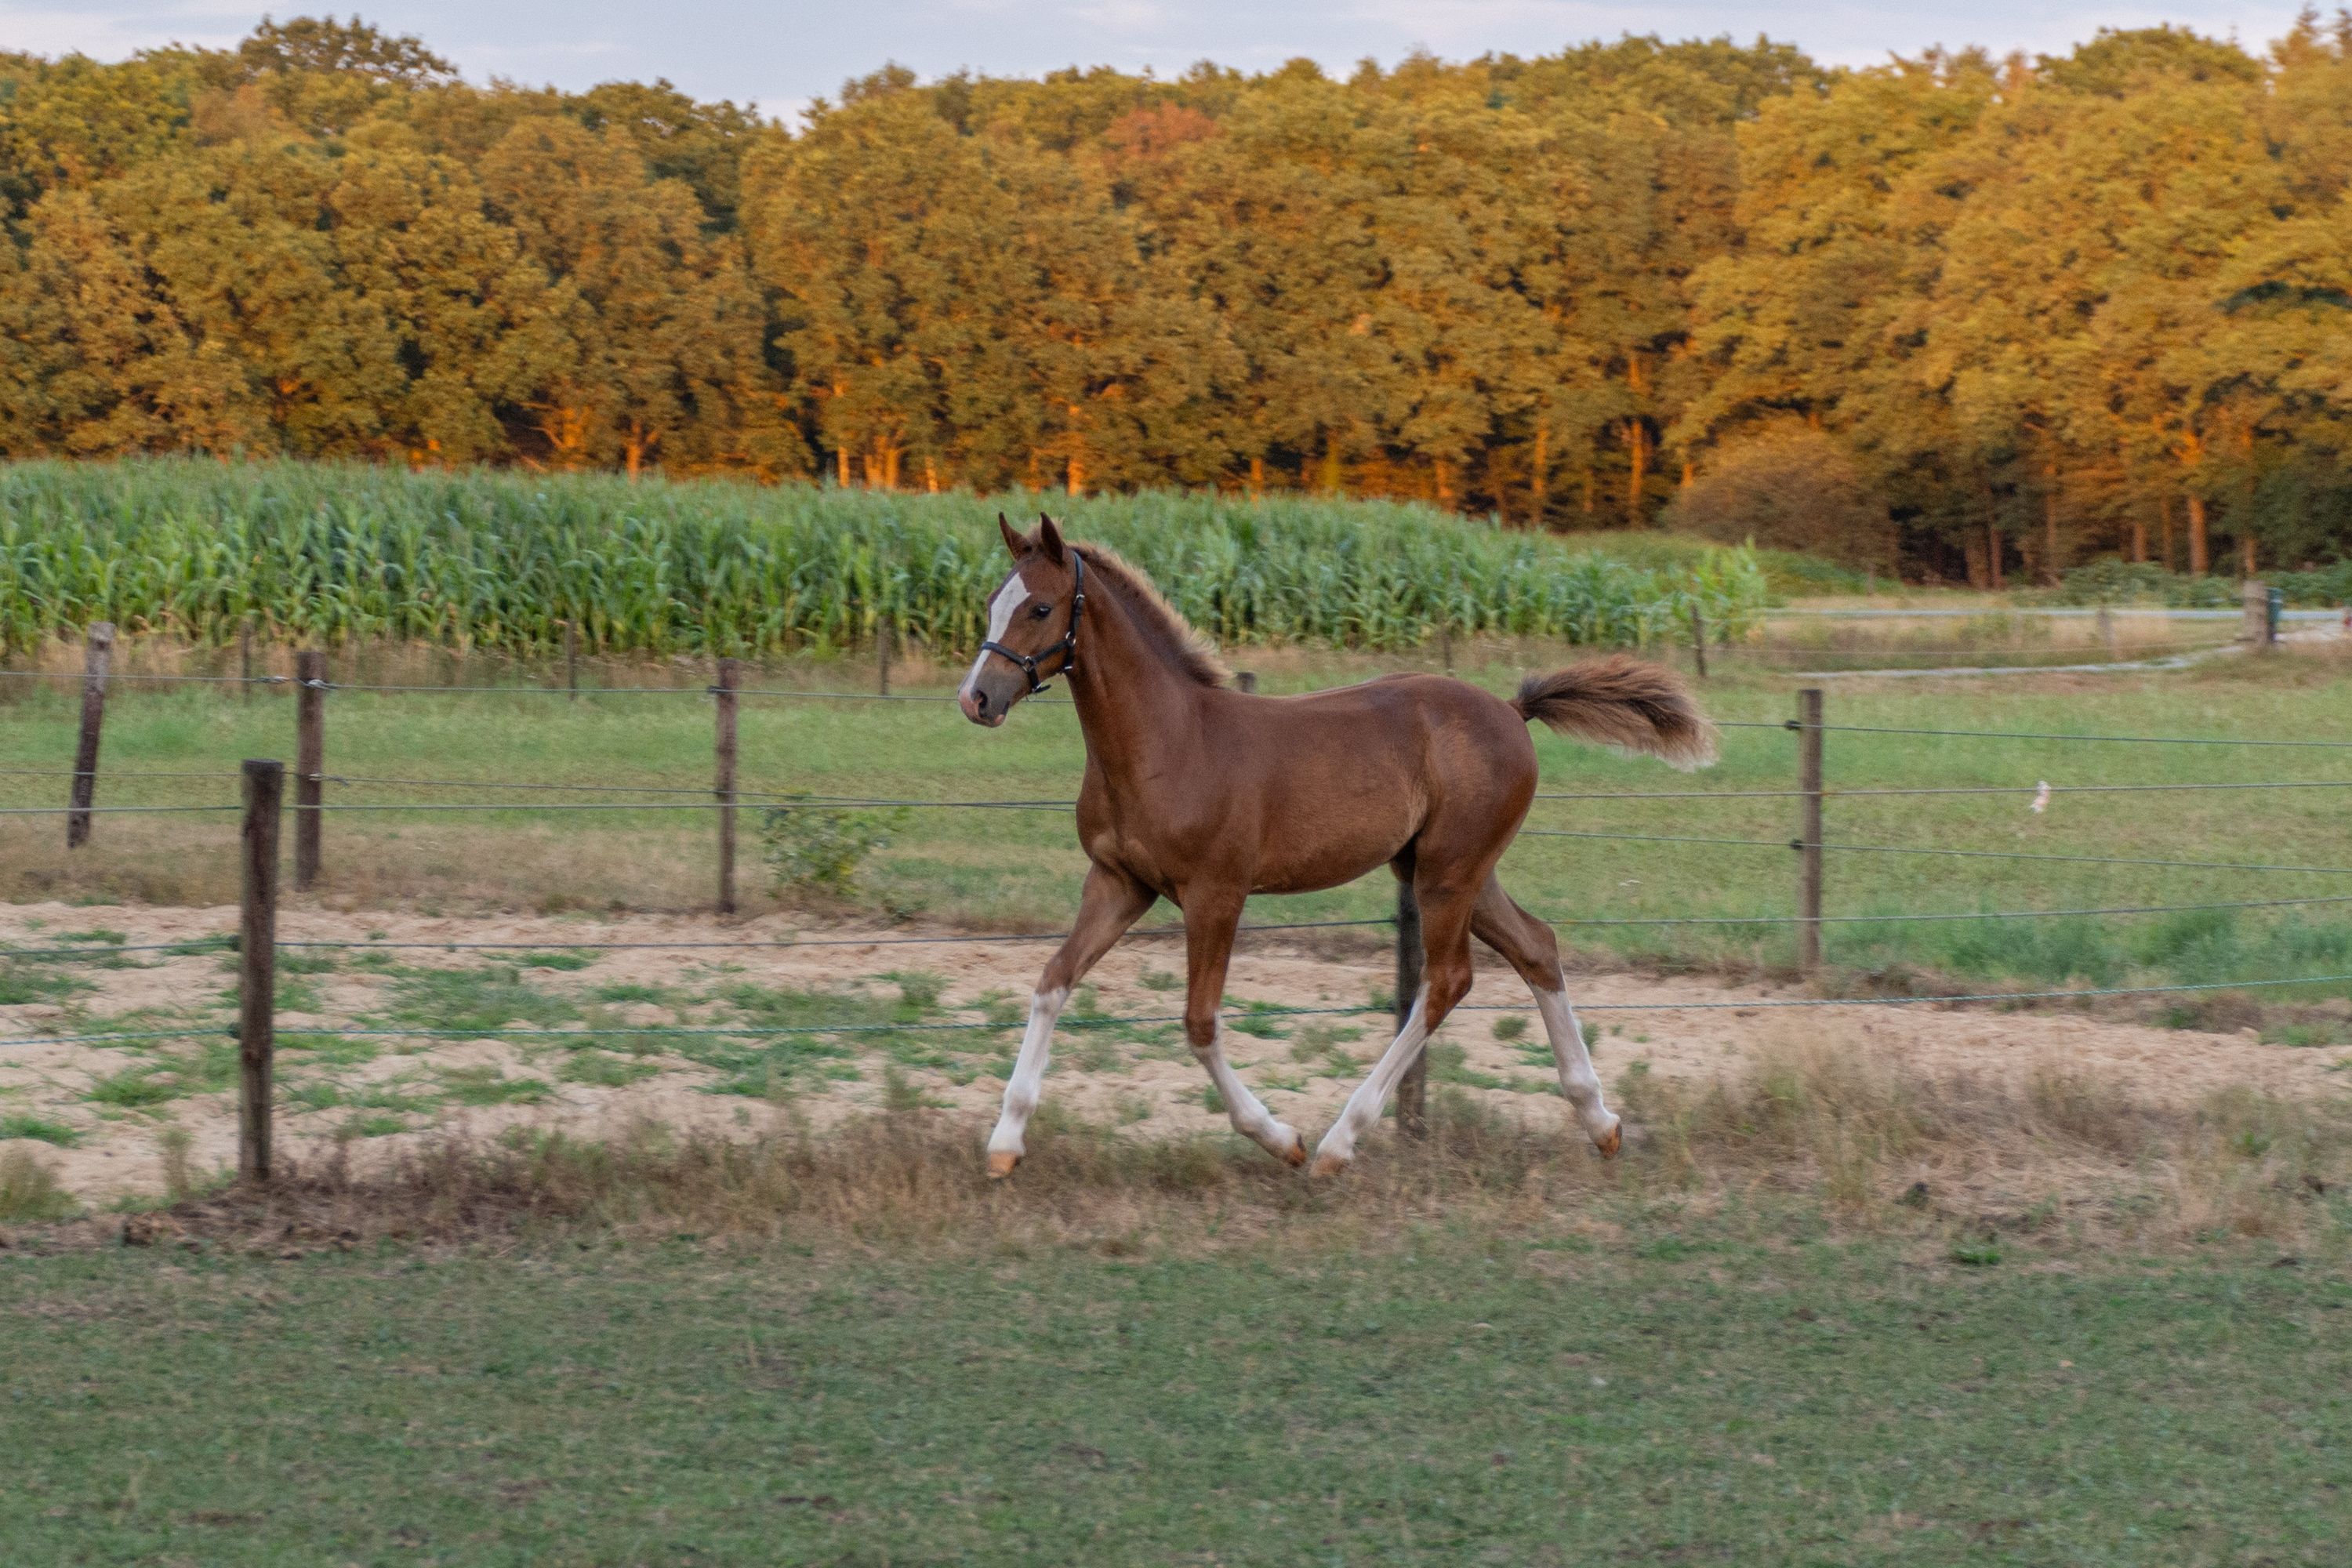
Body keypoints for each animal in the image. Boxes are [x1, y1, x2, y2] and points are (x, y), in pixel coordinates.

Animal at [957, 514, 1717, 1178]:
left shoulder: (1215, 894)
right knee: (1537, 947)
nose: (977, 698)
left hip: (1449, 872)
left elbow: (1200, 1023)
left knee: (1448, 981)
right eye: (992, 603)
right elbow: (1052, 981)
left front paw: (1281, 1139)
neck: (1167, 741)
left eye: (1041, 607)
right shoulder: (1119, 882)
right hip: (1449, 868)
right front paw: (1004, 1143)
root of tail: (1511, 709)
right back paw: (1600, 1121)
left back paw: (1337, 1145)